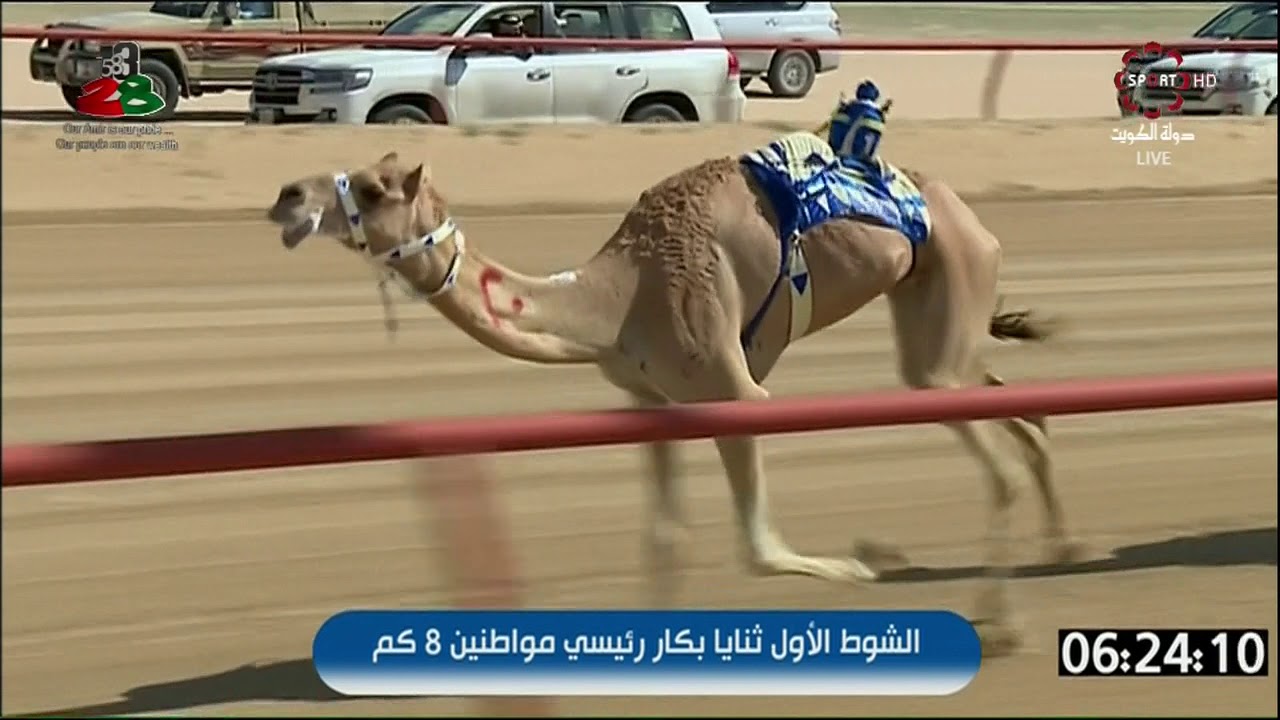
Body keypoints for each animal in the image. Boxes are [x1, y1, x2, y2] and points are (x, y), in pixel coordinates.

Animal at [265, 128, 1078, 656]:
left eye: (375, 188)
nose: (286, 194)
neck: (620, 296)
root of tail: (965, 214)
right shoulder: (652, 403)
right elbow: (664, 536)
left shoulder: (730, 387)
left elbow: (757, 546)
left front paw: (859, 565)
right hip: (941, 316)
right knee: (1015, 409)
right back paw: (1059, 551)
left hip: (949, 286)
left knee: (993, 454)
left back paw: (1000, 620)